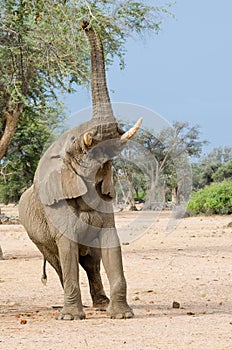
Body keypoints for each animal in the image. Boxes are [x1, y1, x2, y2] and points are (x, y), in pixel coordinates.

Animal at [18, 20, 141, 320]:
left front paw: (122, 315)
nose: (85, 23)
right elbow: (67, 245)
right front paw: (71, 317)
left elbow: (110, 243)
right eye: (76, 141)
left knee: (92, 261)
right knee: (59, 261)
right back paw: (77, 306)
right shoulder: (56, 207)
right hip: (35, 234)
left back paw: (100, 304)